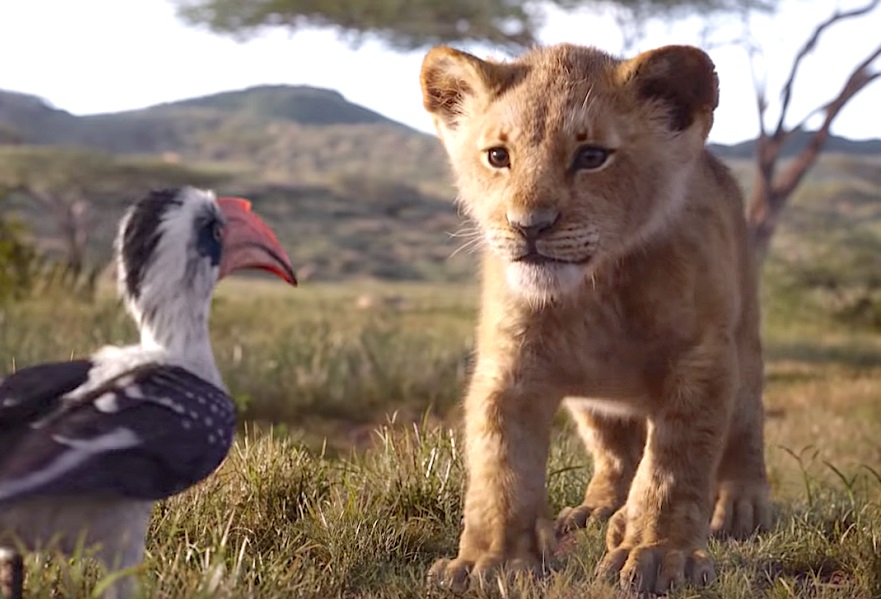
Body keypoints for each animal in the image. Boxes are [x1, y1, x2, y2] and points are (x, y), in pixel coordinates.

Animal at [418, 43, 771, 594]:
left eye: (591, 157)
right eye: (498, 156)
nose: (529, 227)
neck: (595, 288)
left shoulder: (701, 360)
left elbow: (674, 466)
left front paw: (655, 553)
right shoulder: (509, 366)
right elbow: (501, 465)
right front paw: (489, 561)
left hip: (745, 341)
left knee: (746, 424)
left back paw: (739, 506)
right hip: (592, 404)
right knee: (616, 454)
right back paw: (601, 509)